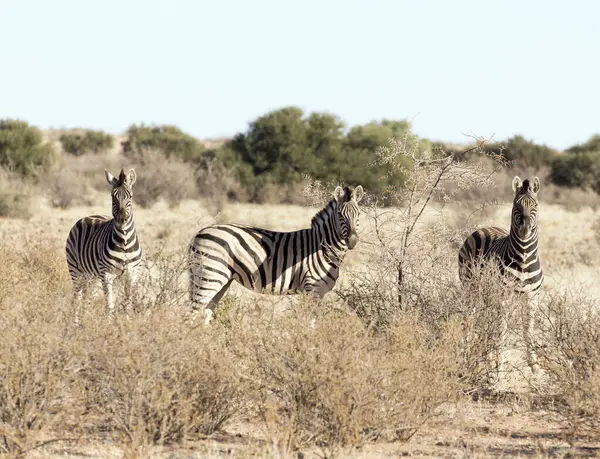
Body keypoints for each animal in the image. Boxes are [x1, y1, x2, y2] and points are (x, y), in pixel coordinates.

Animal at [64, 168, 143, 324]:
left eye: (130, 196)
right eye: (113, 197)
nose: (122, 219)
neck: (124, 240)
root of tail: (88, 216)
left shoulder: (132, 274)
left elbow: (128, 303)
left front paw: (126, 323)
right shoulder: (107, 274)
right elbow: (109, 304)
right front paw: (109, 325)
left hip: (92, 275)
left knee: (87, 297)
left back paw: (84, 322)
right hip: (75, 269)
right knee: (77, 297)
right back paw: (75, 324)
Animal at [190, 185, 364, 326]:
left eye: (359, 214)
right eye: (340, 215)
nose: (353, 241)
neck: (322, 247)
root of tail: (200, 232)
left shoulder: (320, 293)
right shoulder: (311, 289)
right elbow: (310, 324)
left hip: (220, 279)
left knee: (205, 314)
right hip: (209, 275)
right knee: (191, 314)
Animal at [460, 178, 544, 376]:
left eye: (535, 205)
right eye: (516, 205)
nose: (524, 229)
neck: (523, 259)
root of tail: (484, 227)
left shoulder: (532, 297)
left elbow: (528, 329)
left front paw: (534, 364)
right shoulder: (503, 296)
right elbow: (501, 328)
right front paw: (500, 364)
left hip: (487, 293)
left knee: (485, 318)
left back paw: (488, 358)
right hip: (469, 287)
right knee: (470, 318)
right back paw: (467, 357)